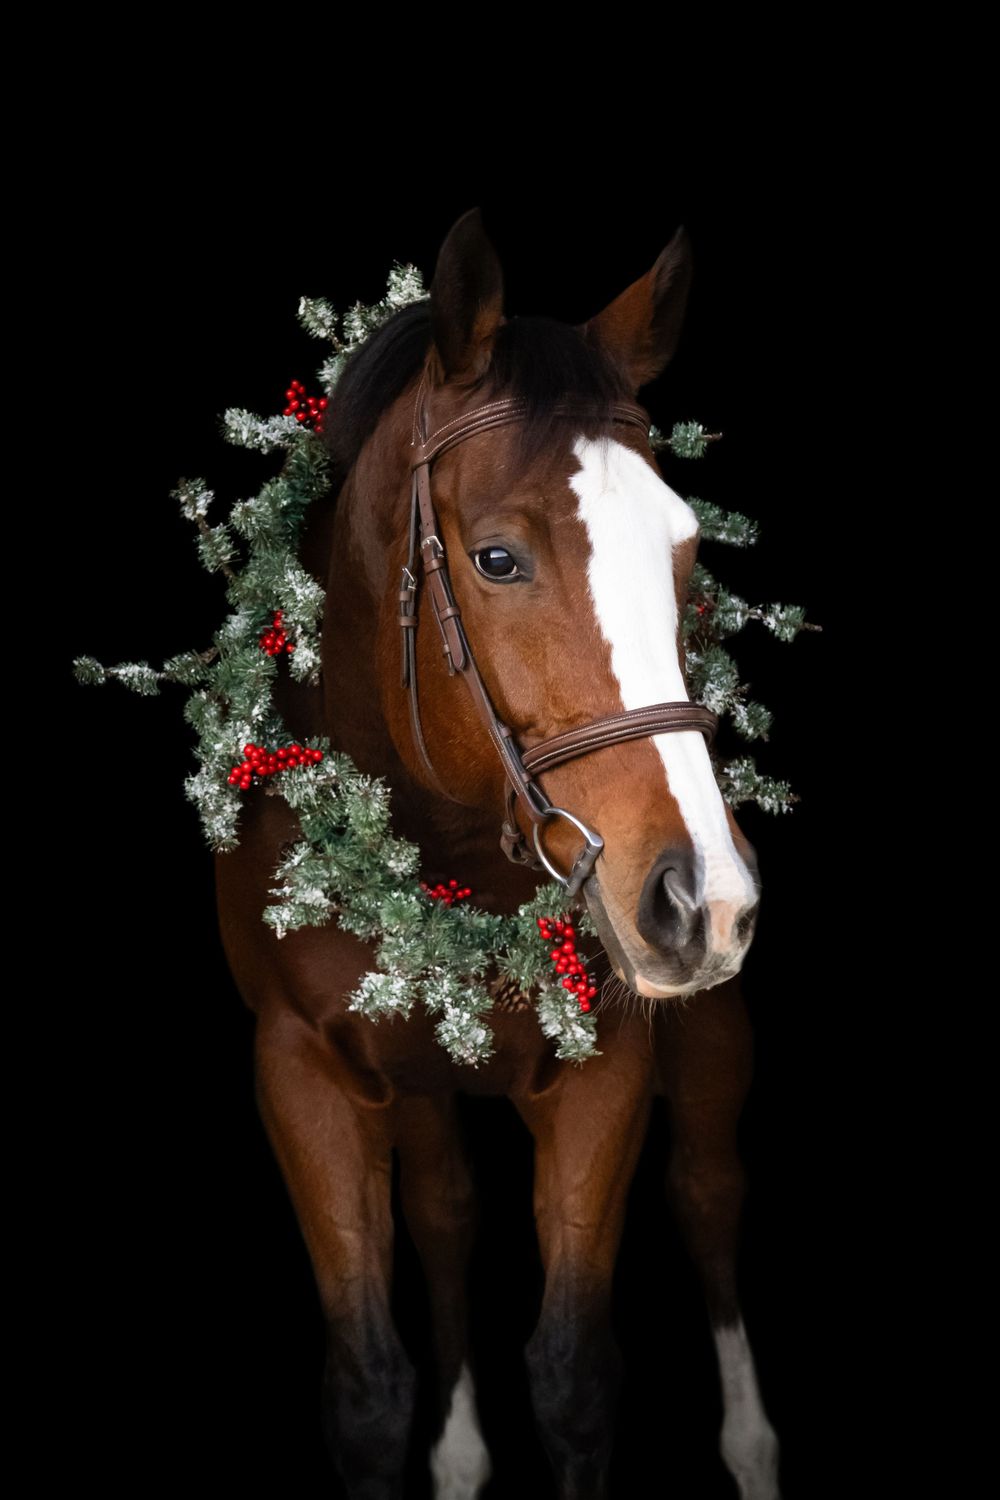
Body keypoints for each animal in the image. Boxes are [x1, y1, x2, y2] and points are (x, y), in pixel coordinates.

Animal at [214, 207, 782, 1499]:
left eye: (685, 552)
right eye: (497, 559)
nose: (702, 900)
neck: (441, 843)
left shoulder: (608, 1066)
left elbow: (573, 1375)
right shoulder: (301, 1072)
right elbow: (369, 1388)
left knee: (709, 1196)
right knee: (444, 1210)